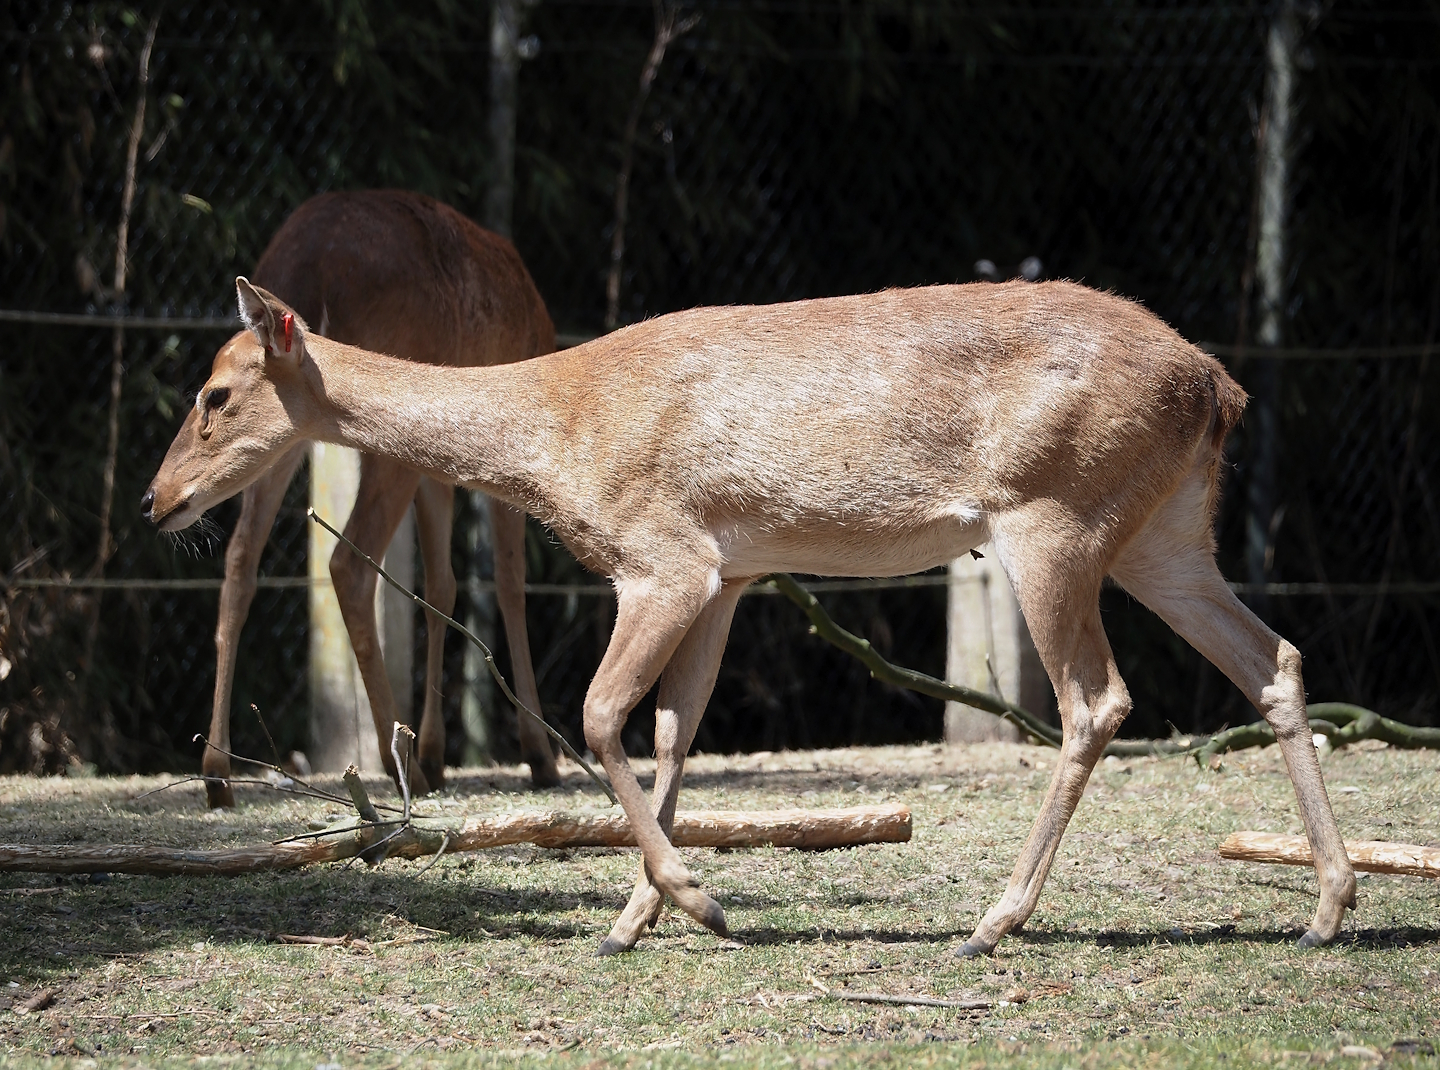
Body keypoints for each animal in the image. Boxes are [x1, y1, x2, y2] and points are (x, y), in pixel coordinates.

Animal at [142, 276, 1357, 957]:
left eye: (215, 392)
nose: (157, 501)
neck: (559, 437)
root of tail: (1219, 388)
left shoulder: (663, 558)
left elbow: (601, 715)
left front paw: (699, 903)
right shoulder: (728, 573)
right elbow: (677, 729)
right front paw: (634, 920)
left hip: (1052, 515)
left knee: (1095, 701)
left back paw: (991, 923)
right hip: (1166, 534)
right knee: (1276, 658)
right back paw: (1327, 907)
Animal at [194, 190, 562, 809]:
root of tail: (312, 264)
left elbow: (441, 586)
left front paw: (436, 753)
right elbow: (509, 580)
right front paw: (537, 753)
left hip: (282, 436)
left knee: (242, 555)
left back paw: (217, 772)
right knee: (348, 560)